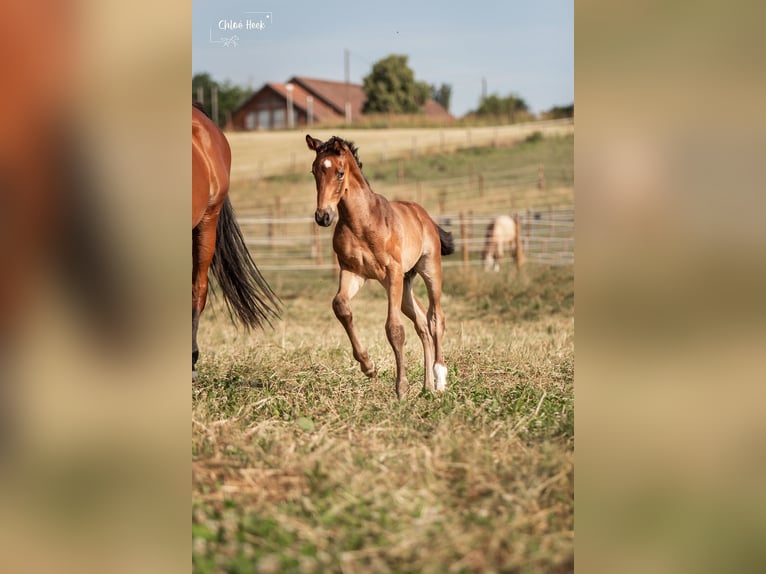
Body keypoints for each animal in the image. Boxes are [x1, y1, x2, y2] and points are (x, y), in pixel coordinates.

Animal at [306, 135, 452, 400]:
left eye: (340, 173)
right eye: (314, 171)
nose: (323, 216)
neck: (362, 222)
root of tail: (424, 216)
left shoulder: (391, 272)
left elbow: (394, 329)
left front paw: (401, 388)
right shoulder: (353, 271)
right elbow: (341, 305)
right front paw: (368, 366)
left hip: (428, 269)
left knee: (436, 317)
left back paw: (439, 380)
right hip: (404, 283)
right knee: (421, 324)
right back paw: (426, 387)